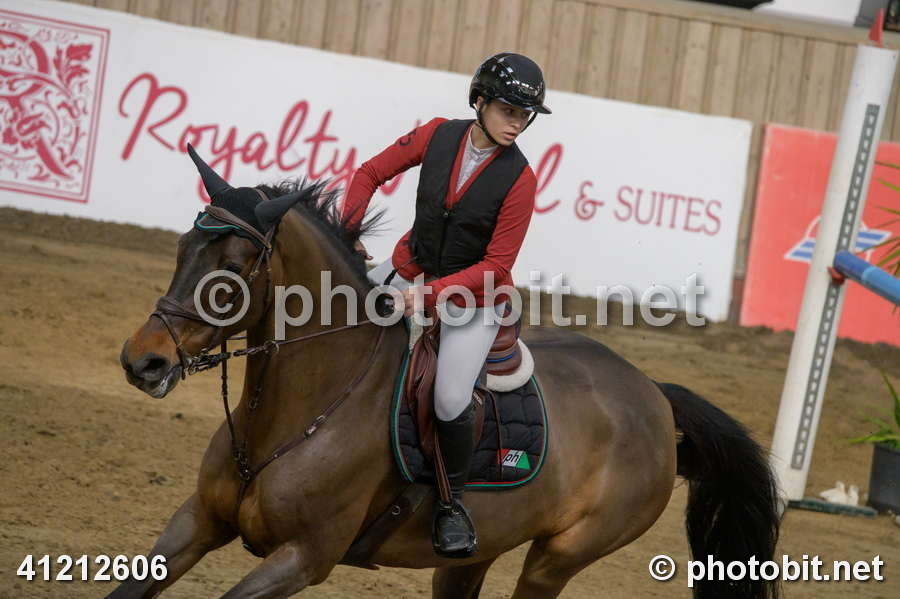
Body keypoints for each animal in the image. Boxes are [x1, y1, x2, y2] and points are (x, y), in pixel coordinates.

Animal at [113, 148, 780, 598]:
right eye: (182, 249)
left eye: (230, 269)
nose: (143, 360)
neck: (297, 415)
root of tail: (654, 396)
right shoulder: (197, 521)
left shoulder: (304, 556)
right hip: (474, 556)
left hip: (559, 558)